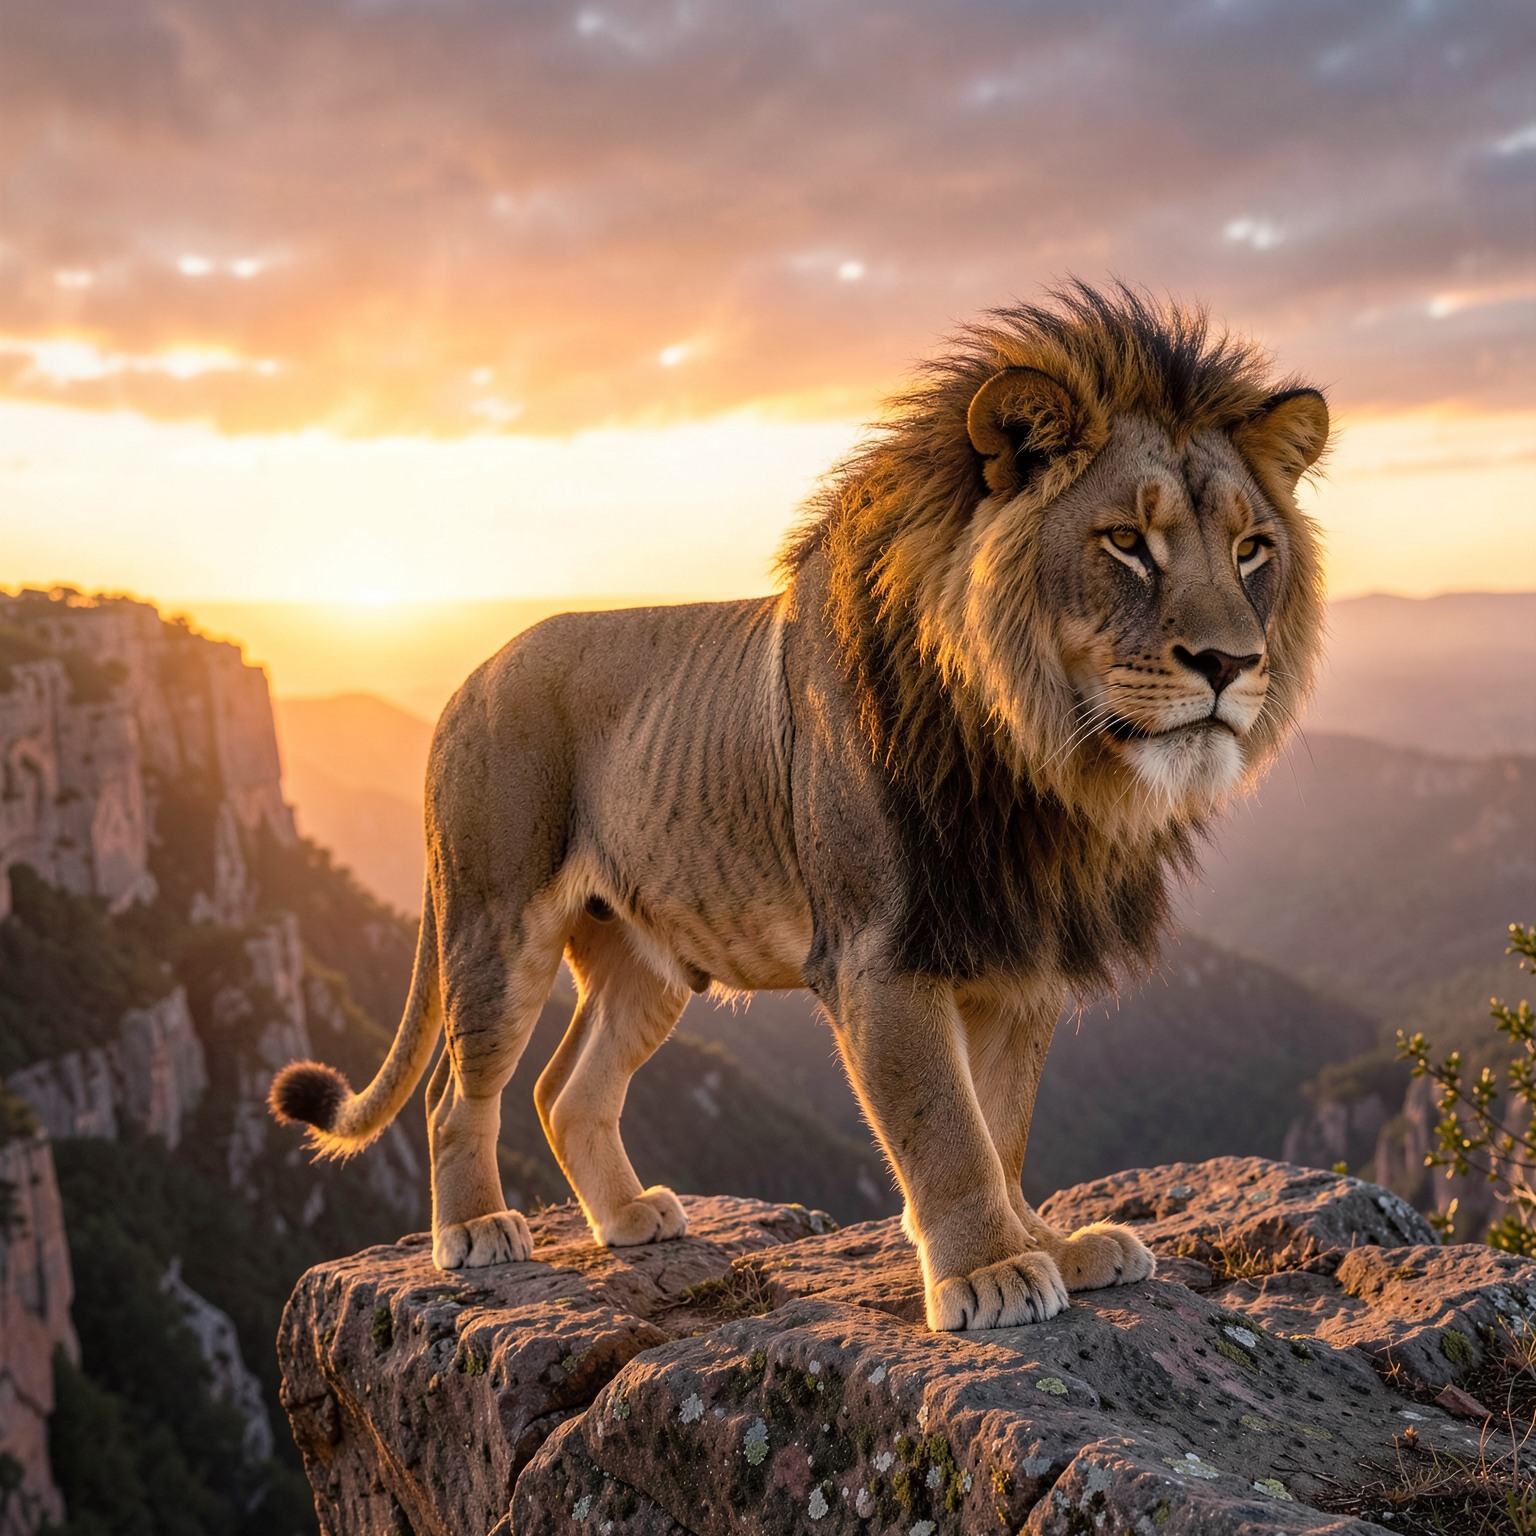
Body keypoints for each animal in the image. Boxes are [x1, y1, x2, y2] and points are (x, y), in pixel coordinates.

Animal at [271, 282, 1328, 1331]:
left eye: (1251, 551)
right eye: (1127, 544)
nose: (1232, 663)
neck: (1040, 768)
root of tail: (466, 678)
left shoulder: (1018, 955)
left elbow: (1004, 1123)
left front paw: (1048, 1242)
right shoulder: (879, 955)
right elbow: (948, 1126)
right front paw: (991, 1272)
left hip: (648, 960)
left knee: (565, 1092)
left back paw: (630, 1219)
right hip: (496, 925)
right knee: (458, 1097)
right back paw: (475, 1232)